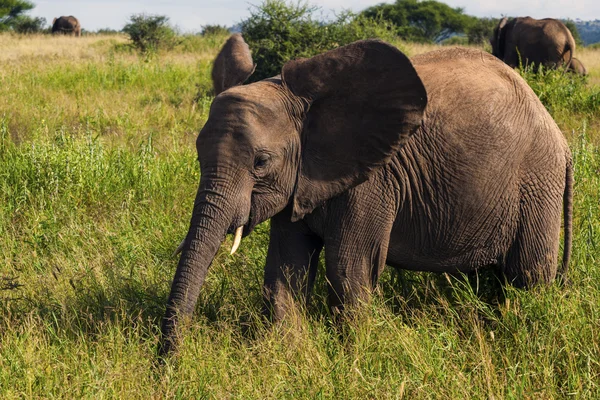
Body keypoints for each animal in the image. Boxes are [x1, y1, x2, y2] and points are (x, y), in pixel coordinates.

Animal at [158, 38, 572, 356]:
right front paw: (288, 355)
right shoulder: (302, 180)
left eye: (261, 162)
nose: (167, 367)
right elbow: (285, 268)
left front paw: (350, 358)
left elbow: (348, 268)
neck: (301, 101)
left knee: (528, 276)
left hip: (537, 185)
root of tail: (561, 140)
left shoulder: (372, 181)